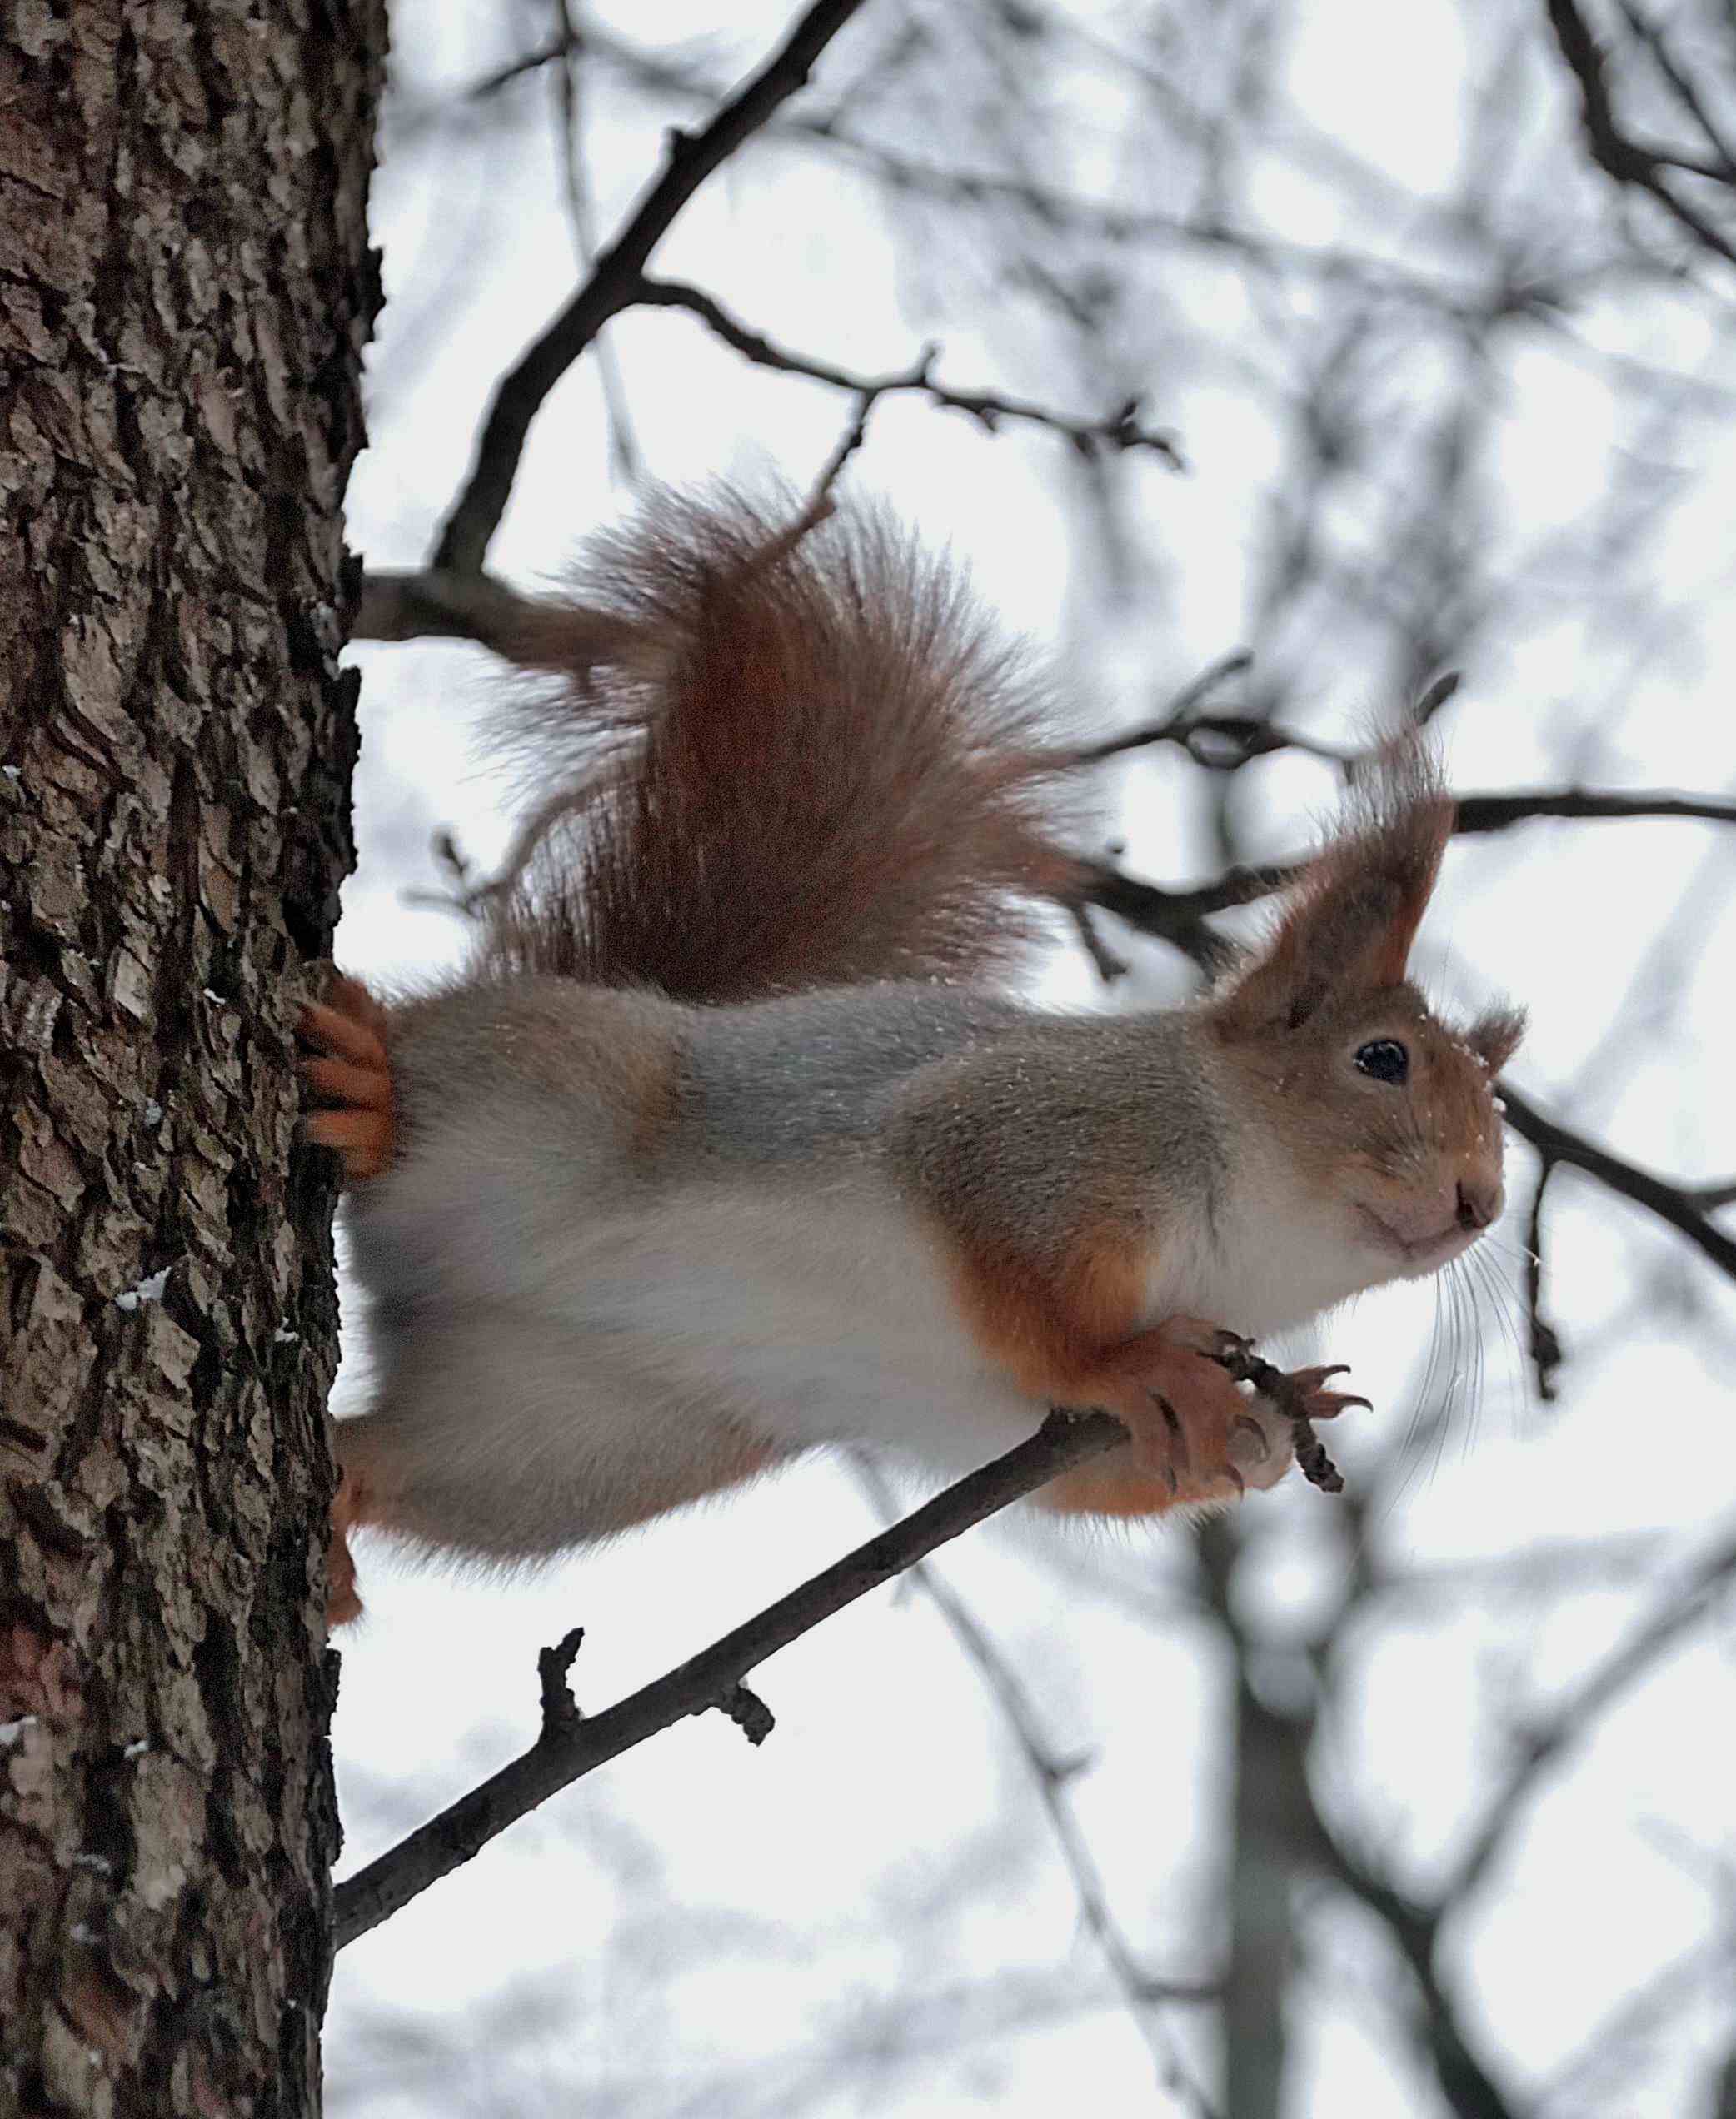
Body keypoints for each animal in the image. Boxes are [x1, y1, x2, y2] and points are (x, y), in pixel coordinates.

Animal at [305, 487, 1526, 1627]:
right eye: (1381, 1060)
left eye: (1500, 1121)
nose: (1480, 1202)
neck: (1253, 1246)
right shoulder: (1041, 1136)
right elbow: (1023, 1276)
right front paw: (1135, 1365)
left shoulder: (1012, 1420)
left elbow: (1089, 1470)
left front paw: (1270, 1422)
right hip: (564, 1092)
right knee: (441, 1091)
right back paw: (374, 1091)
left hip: (569, 1443)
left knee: (406, 1458)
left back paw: (346, 1502)